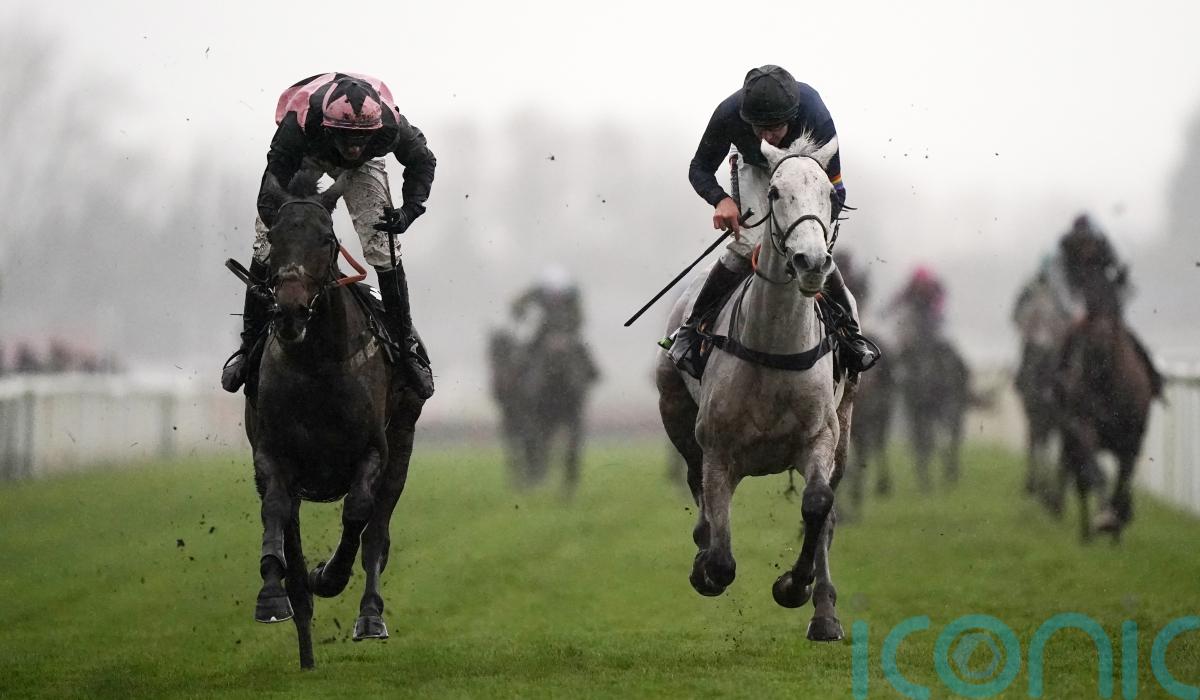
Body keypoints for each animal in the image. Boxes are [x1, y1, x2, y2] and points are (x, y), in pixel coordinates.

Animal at [242, 171, 425, 668]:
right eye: (275, 240)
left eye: (326, 239)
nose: (289, 311)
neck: (318, 366)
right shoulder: (272, 453)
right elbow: (275, 511)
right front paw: (271, 595)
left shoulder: (374, 452)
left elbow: (358, 514)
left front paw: (330, 575)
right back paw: (305, 646)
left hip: (403, 446)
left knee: (377, 533)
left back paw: (369, 615)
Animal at [657, 134, 854, 641]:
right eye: (775, 193)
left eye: (830, 195)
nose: (811, 262)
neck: (775, 343)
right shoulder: (718, 450)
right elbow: (721, 556)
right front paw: (706, 569)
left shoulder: (820, 437)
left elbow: (818, 505)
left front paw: (795, 586)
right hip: (675, 412)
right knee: (695, 484)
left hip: (846, 429)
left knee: (829, 516)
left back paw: (825, 613)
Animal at [1053, 272, 1160, 542]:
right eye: (1090, 306)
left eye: (1116, 307)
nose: (1100, 344)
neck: (1105, 382)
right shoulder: (1083, 427)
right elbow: (1096, 475)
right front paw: (1104, 520)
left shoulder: (1132, 439)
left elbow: (1123, 483)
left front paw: (1118, 528)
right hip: (1070, 436)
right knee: (1081, 479)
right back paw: (1086, 534)